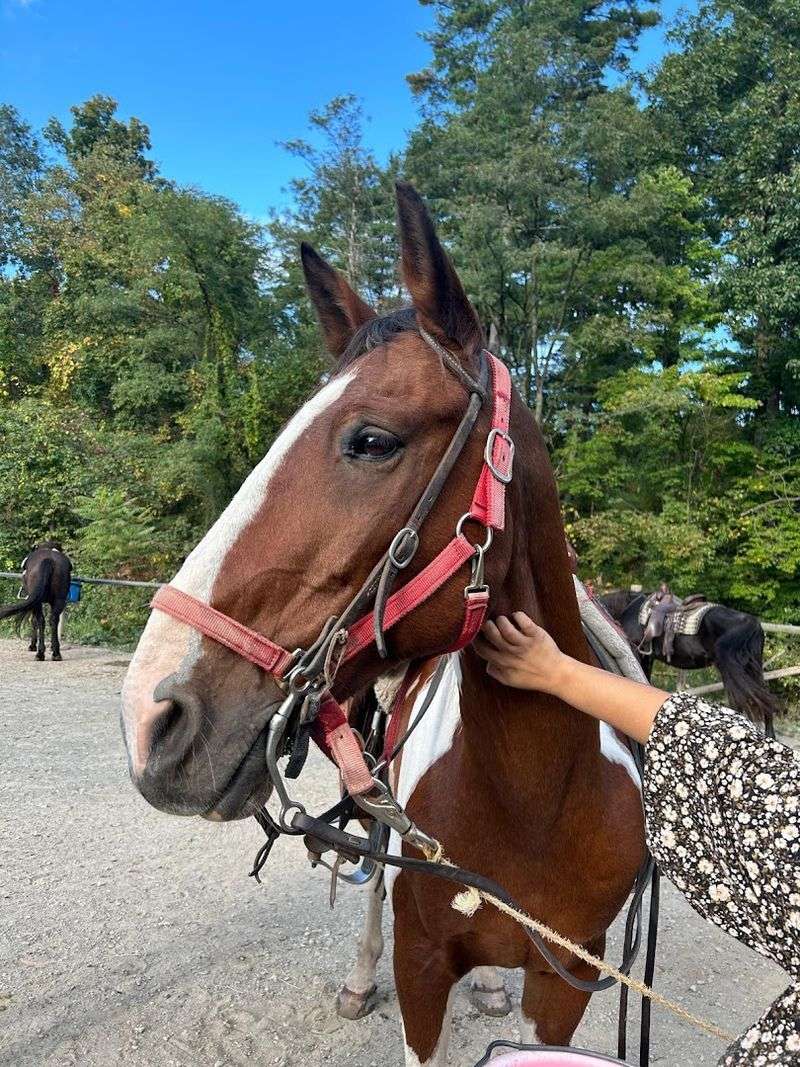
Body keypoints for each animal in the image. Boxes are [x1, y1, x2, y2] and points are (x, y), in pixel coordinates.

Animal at [600, 589, 779, 731]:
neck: (628, 608)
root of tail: (753, 624)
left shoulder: (639, 652)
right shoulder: (648, 657)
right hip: (752, 668)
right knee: (764, 699)